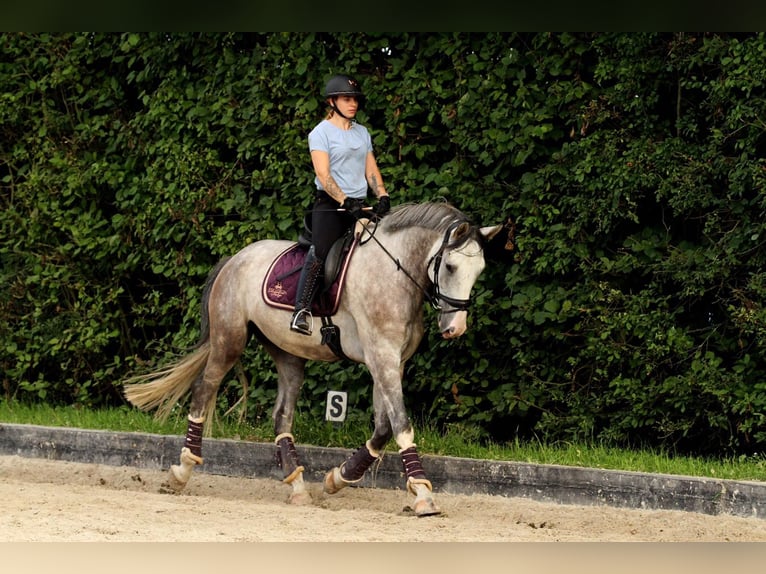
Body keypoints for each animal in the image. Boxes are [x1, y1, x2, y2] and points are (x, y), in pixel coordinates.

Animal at [124, 202, 504, 516]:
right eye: (451, 266)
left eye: (480, 270)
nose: (455, 328)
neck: (394, 273)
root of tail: (235, 258)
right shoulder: (381, 357)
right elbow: (400, 424)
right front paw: (423, 495)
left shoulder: (390, 362)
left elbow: (383, 428)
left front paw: (338, 478)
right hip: (228, 340)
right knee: (204, 389)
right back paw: (181, 471)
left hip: (288, 354)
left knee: (281, 415)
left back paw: (296, 485)